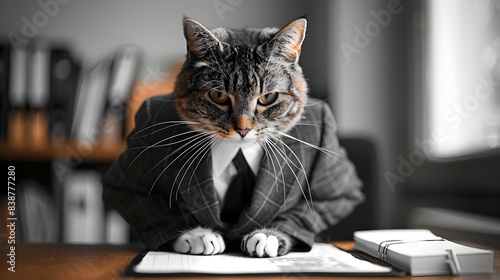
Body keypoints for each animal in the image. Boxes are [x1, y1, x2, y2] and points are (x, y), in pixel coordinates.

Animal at [101, 17, 364, 258]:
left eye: (268, 97)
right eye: (218, 96)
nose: (243, 129)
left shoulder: (339, 190)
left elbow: (314, 208)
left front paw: (267, 235)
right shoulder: (124, 181)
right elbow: (146, 205)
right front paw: (196, 235)